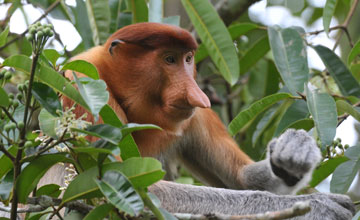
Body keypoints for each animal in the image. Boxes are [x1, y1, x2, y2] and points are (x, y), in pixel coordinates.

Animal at [63, 23, 352, 219]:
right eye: (169, 59)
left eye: (188, 58)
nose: (198, 95)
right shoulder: (83, 85)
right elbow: (127, 188)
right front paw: (320, 208)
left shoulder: (196, 115)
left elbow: (240, 178)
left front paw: (294, 152)